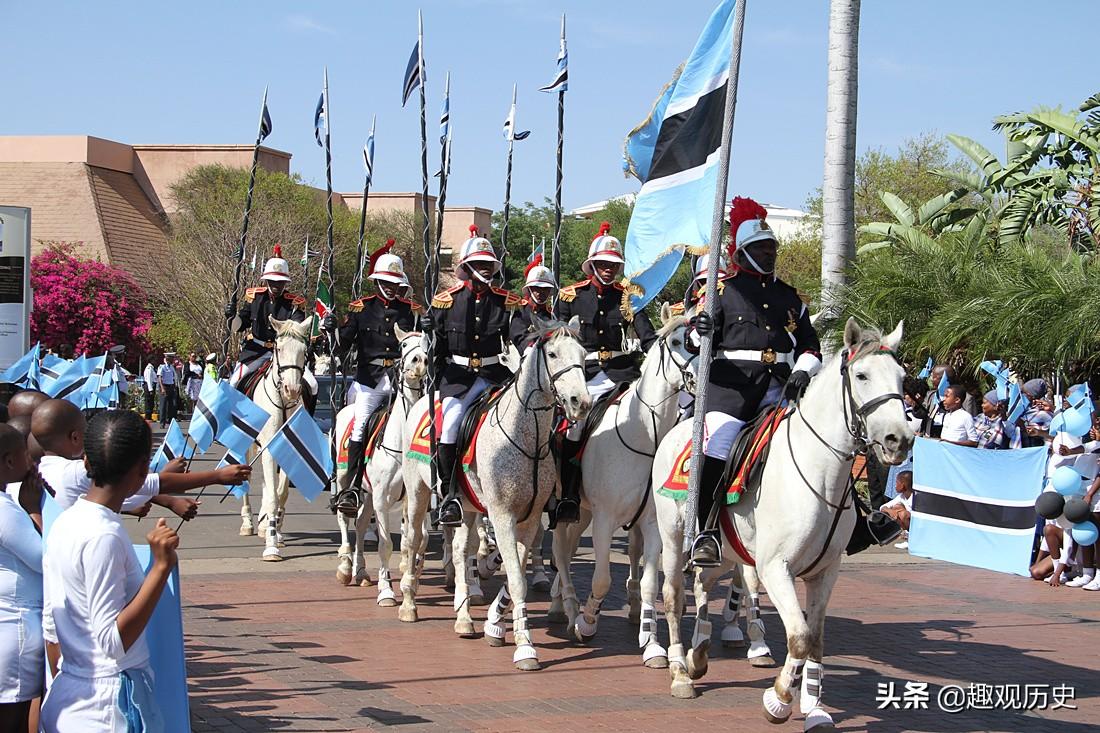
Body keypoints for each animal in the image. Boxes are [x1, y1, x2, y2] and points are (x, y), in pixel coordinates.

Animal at [237, 314, 314, 559]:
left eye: (304, 350)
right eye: (279, 348)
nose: (292, 390)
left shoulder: (289, 449)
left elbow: (280, 493)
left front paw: (275, 530)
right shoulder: (269, 447)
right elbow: (271, 494)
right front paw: (271, 545)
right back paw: (248, 523)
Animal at [332, 330, 426, 598]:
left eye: (426, 343)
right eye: (404, 344)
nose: (420, 361)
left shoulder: (414, 497)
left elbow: (418, 538)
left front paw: (412, 576)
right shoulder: (383, 498)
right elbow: (386, 543)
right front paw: (386, 590)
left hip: (369, 493)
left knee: (362, 523)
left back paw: (362, 572)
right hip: (345, 481)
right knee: (345, 519)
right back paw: (345, 567)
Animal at [402, 314, 594, 669]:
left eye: (583, 354)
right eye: (553, 355)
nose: (581, 403)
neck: (526, 438)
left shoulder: (528, 518)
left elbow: (514, 569)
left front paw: (496, 624)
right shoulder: (502, 515)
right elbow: (516, 577)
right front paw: (525, 646)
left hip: (467, 506)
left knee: (461, 550)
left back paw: (464, 617)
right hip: (418, 492)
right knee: (413, 540)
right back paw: (408, 603)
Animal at [550, 301, 695, 669]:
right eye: (678, 342)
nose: (700, 376)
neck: (644, 435)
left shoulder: (653, 522)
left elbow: (649, 583)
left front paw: (653, 645)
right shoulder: (604, 520)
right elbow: (602, 579)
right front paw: (587, 622)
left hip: (583, 513)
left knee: (569, 550)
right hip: (566, 511)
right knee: (560, 552)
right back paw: (567, 608)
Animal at [651, 319, 910, 726]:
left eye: (902, 377)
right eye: (862, 375)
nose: (899, 439)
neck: (820, 472)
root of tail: (682, 426)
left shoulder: (826, 571)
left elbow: (816, 638)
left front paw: (815, 708)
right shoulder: (776, 568)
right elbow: (800, 636)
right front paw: (779, 700)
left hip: (726, 549)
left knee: (704, 582)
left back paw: (699, 653)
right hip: (674, 537)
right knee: (675, 594)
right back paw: (680, 671)